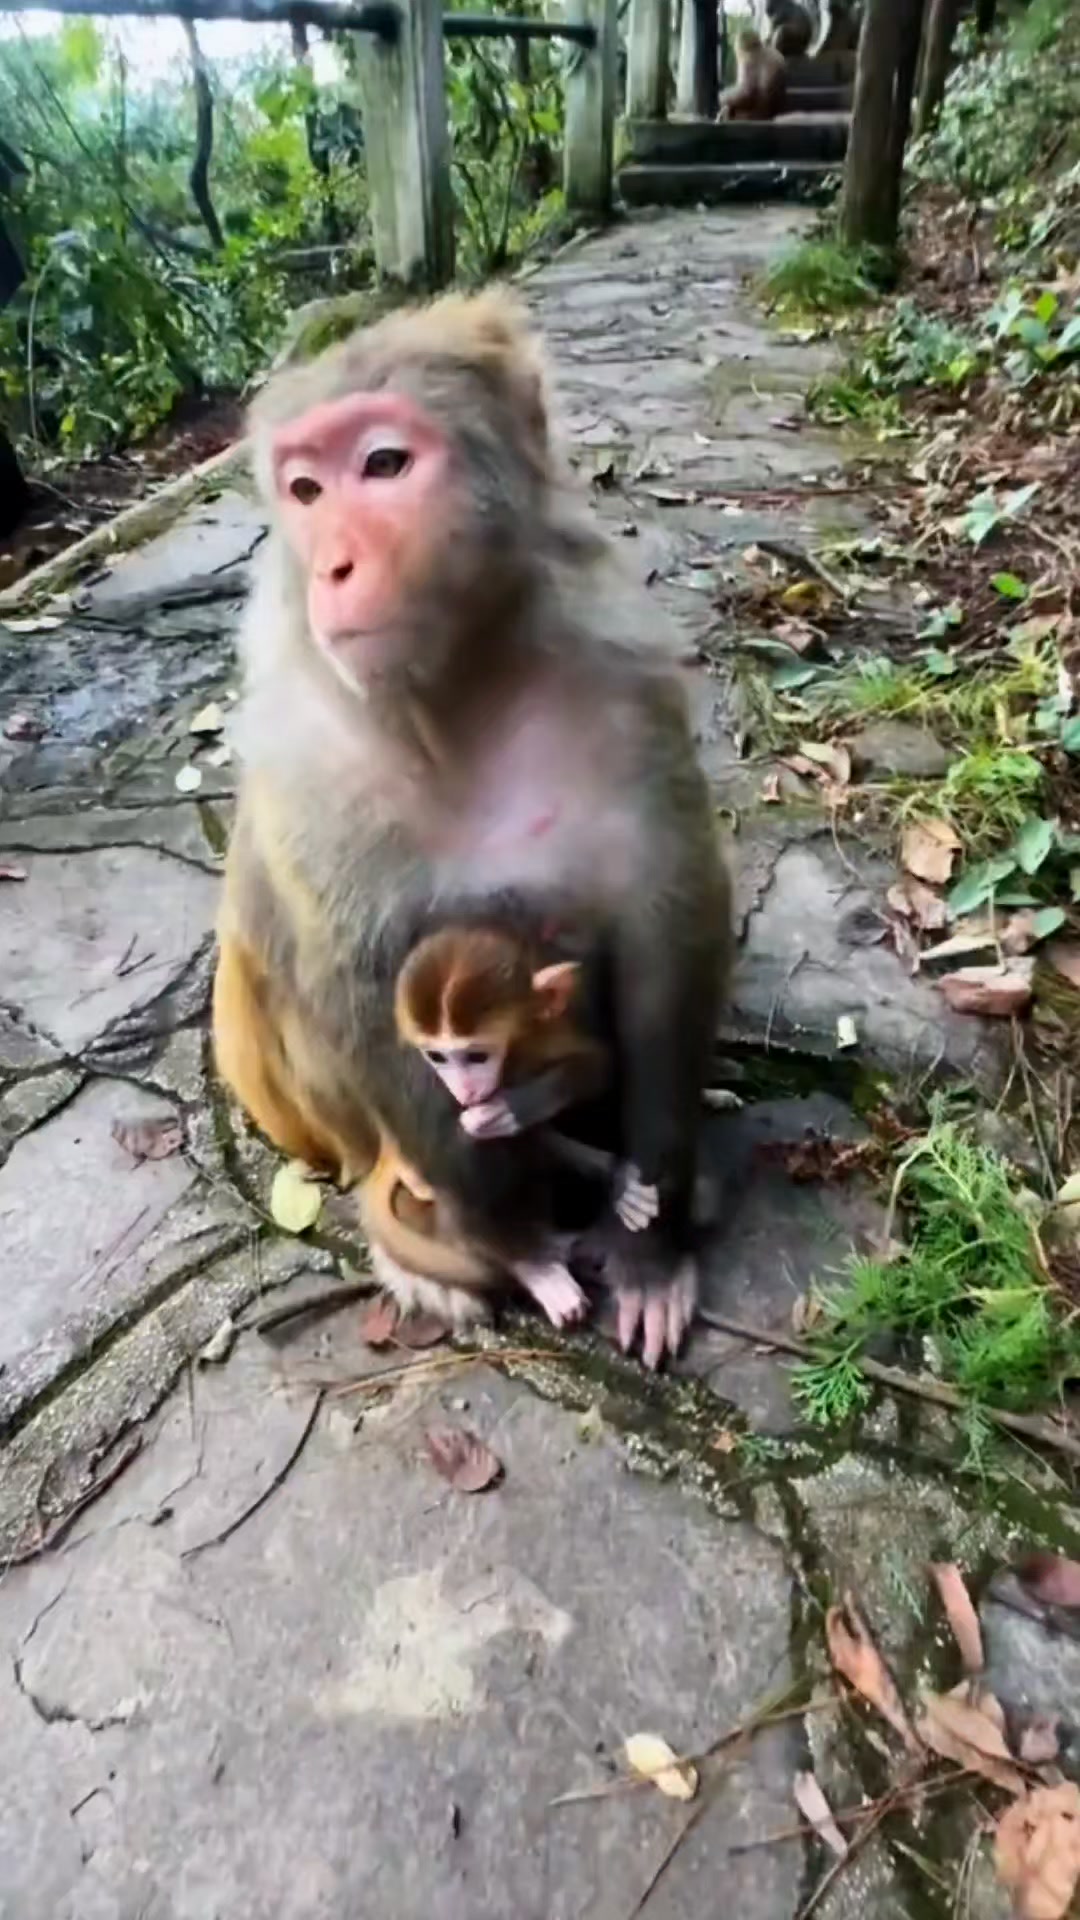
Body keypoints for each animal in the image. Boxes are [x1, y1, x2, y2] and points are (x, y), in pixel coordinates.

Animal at [212, 286, 732, 1372]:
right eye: (305, 489)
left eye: (384, 465)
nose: (332, 567)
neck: (455, 689)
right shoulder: (313, 758)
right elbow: (362, 986)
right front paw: (519, 1249)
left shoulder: (620, 684)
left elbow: (665, 931)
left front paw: (651, 1245)